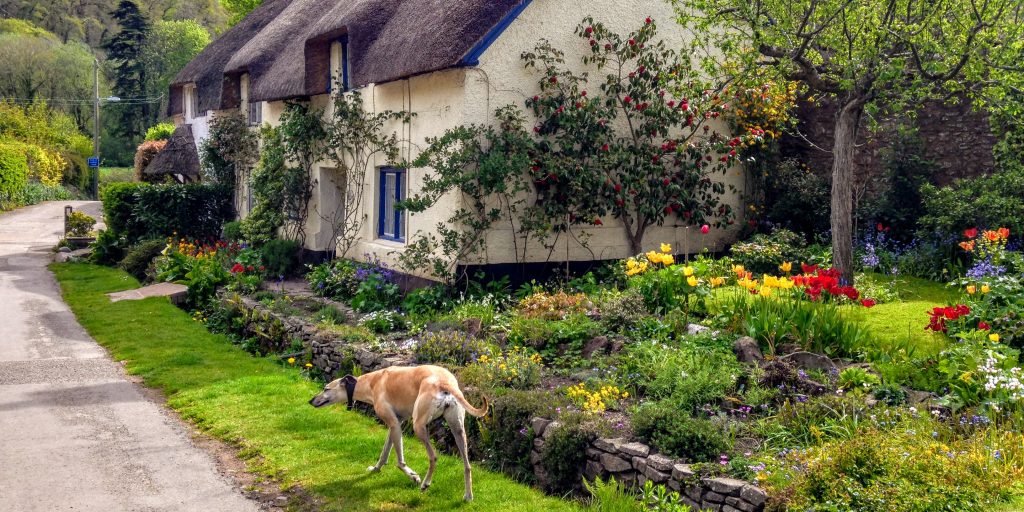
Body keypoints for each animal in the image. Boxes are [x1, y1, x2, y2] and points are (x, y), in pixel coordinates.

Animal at [307, 366, 487, 501]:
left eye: (326, 388)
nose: (310, 401)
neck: (372, 382)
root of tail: (444, 383)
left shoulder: (394, 424)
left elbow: (400, 462)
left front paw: (413, 476)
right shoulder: (396, 424)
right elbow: (385, 452)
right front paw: (376, 469)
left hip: (418, 426)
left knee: (434, 457)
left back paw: (426, 483)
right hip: (458, 429)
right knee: (467, 465)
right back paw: (468, 496)